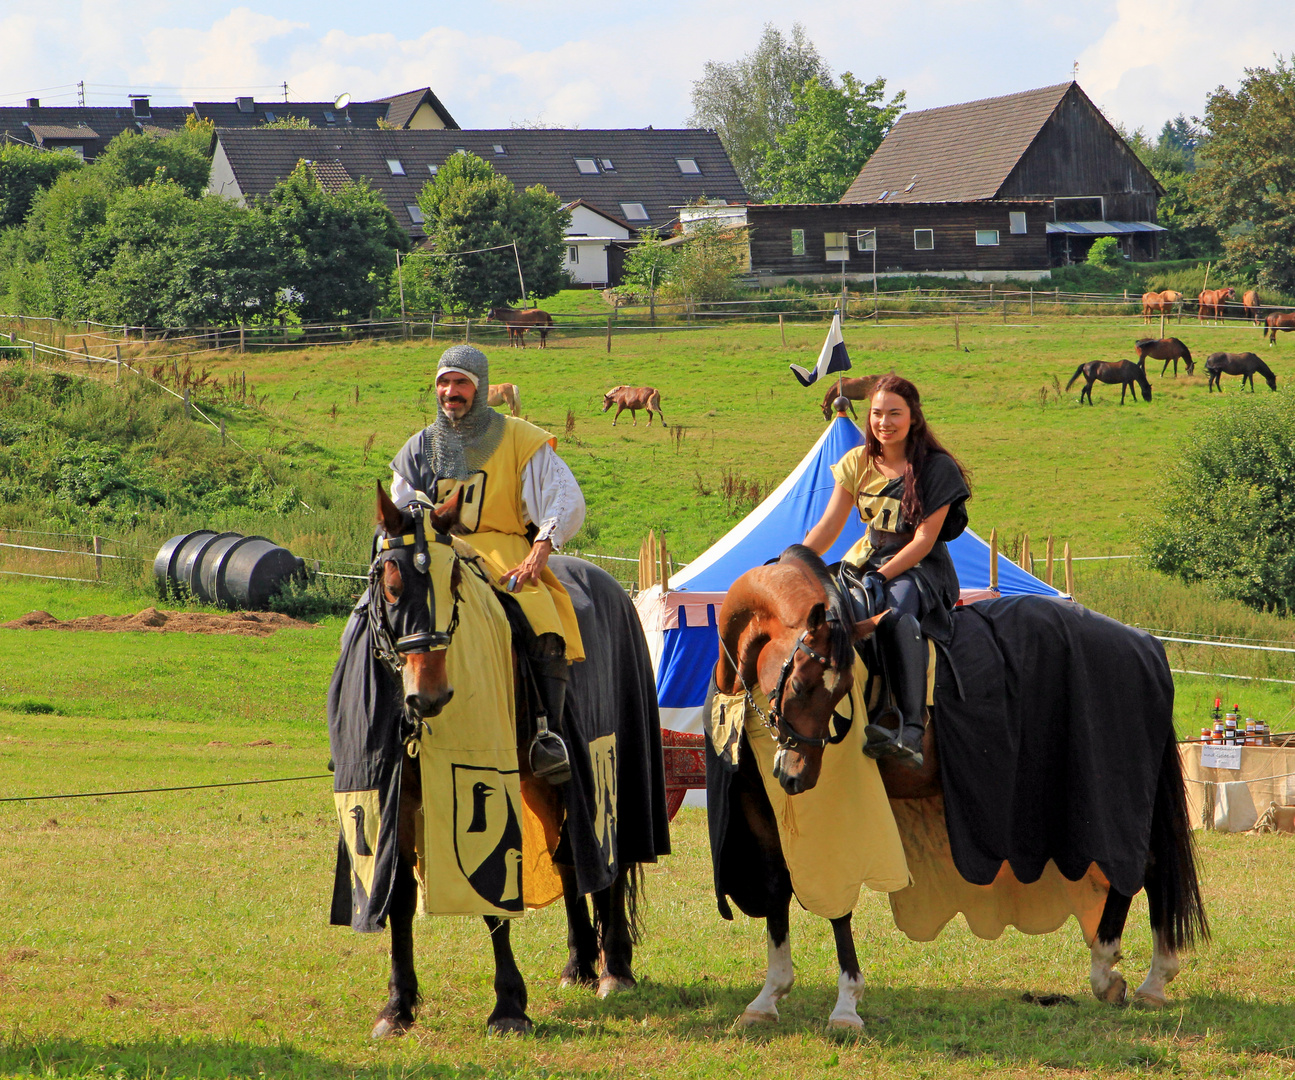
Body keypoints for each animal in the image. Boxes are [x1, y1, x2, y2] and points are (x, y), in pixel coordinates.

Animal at [326, 484, 668, 1030]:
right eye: (393, 586)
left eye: (454, 582)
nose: (431, 695)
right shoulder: (392, 801)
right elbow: (397, 898)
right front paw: (398, 1005)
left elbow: (491, 900)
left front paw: (508, 1005)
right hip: (545, 785)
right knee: (570, 858)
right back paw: (580, 964)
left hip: (606, 771)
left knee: (609, 859)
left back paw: (614, 969)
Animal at [704, 546, 1206, 1025]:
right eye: (801, 686)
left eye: (840, 690)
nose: (798, 775)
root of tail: (1147, 645)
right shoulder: (758, 803)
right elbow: (776, 886)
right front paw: (768, 997)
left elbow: (837, 899)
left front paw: (846, 1005)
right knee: (1152, 867)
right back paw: (1145, 978)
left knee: (1138, 867)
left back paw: (1121, 974)